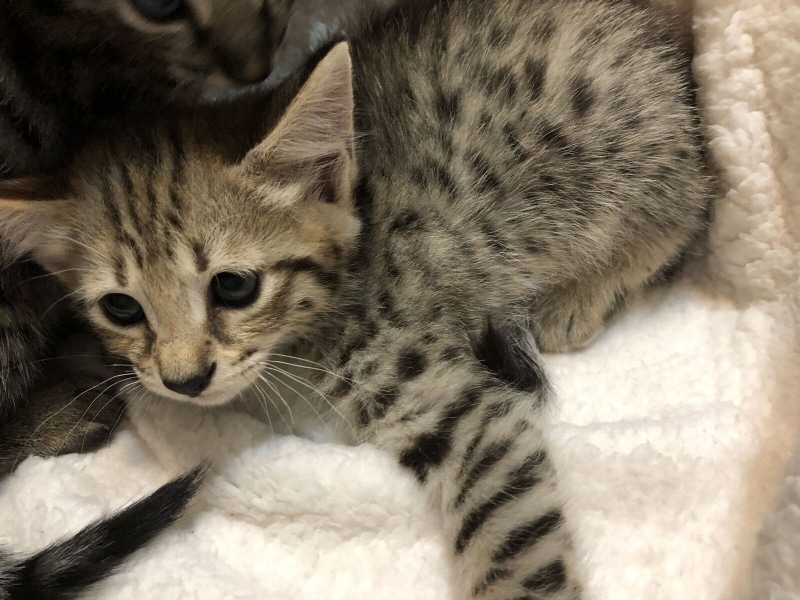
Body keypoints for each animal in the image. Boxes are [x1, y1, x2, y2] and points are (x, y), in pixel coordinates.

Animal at [0, 0, 714, 596]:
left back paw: (582, 295)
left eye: (234, 287)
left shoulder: (450, 396)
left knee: (691, 202)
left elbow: (510, 529)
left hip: (619, 161)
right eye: (121, 308)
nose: (185, 379)